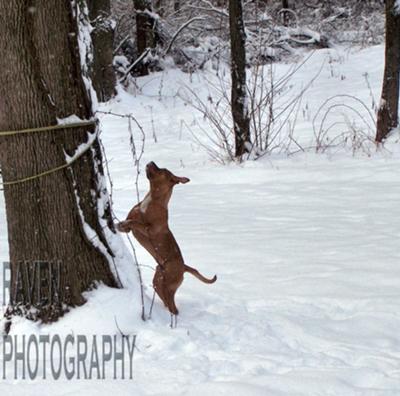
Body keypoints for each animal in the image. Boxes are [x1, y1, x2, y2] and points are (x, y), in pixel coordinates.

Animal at [117, 162, 217, 324]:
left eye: (162, 170)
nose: (151, 162)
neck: (152, 200)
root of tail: (184, 267)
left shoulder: (150, 230)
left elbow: (136, 223)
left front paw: (124, 223)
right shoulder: (130, 226)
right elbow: (129, 223)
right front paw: (119, 223)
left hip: (168, 286)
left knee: (173, 307)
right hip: (159, 282)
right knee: (167, 303)